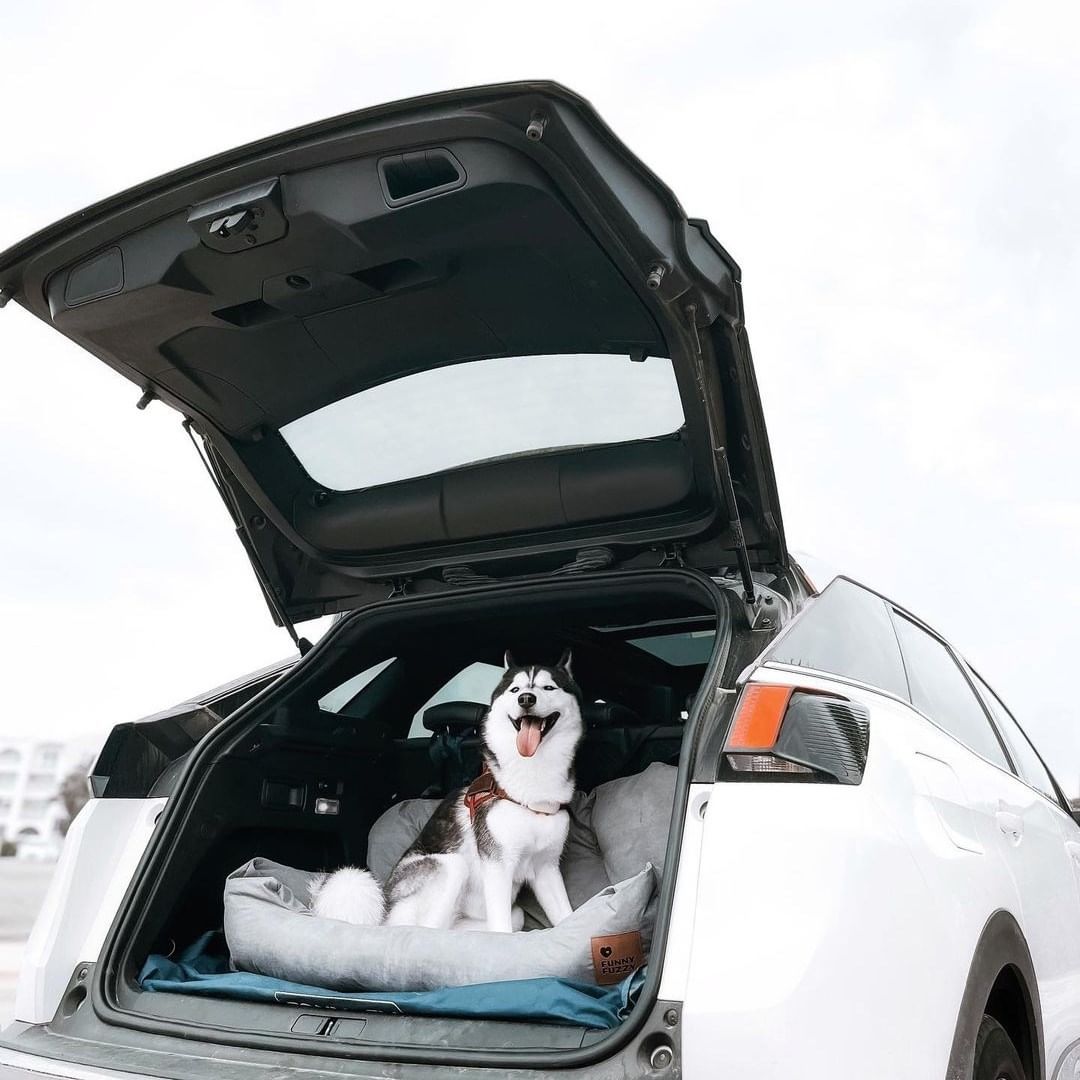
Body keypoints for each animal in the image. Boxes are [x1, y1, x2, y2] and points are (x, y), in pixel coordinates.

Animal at [311, 649, 583, 932]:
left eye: (548, 687)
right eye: (515, 689)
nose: (526, 699)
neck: (528, 786)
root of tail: (382, 912)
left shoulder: (546, 869)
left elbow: (566, 916)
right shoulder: (498, 866)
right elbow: (501, 927)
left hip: (507, 909)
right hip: (451, 865)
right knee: (428, 930)